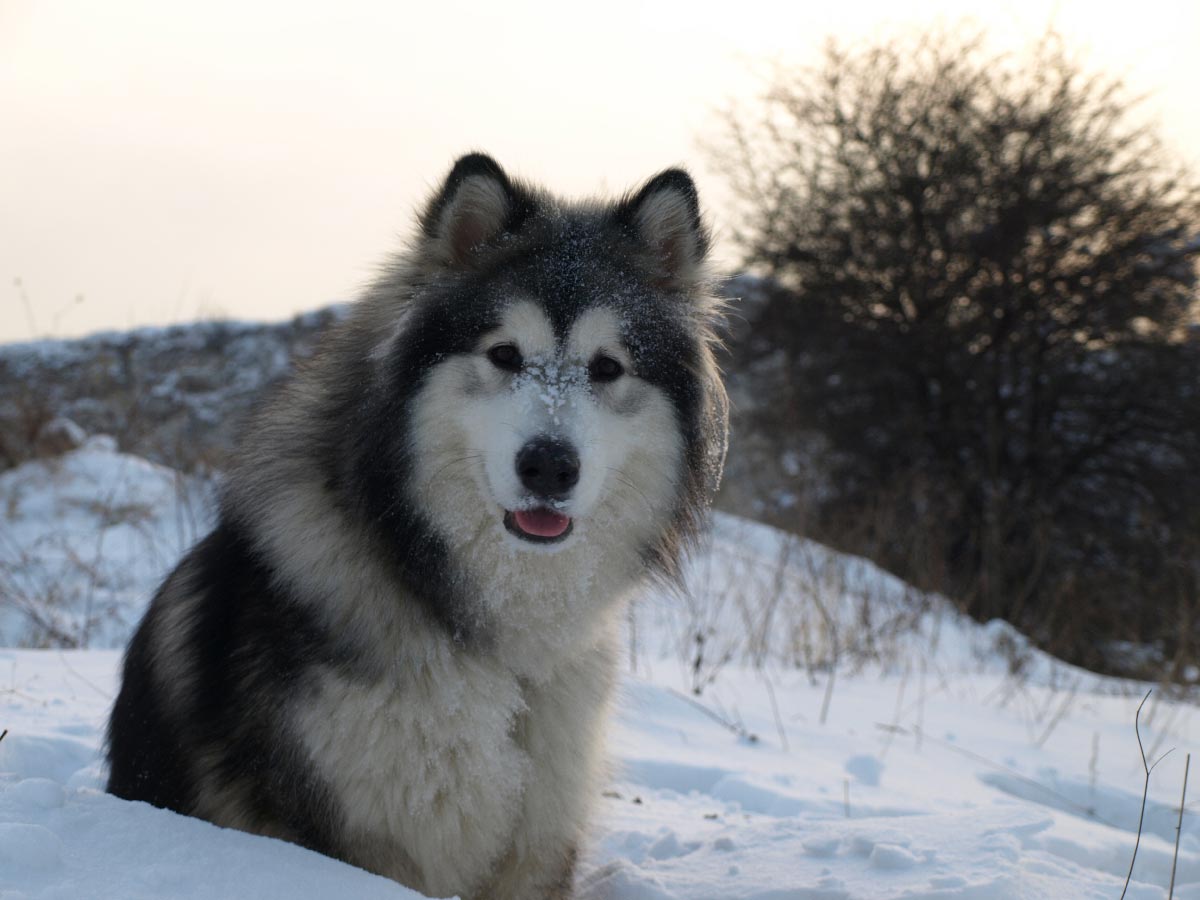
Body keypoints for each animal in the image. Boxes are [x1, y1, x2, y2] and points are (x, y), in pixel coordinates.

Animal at [110, 154, 729, 900]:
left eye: (608, 367)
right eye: (504, 354)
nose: (549, 466)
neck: (493, 647)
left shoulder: (539, 839)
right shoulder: (368, 840)